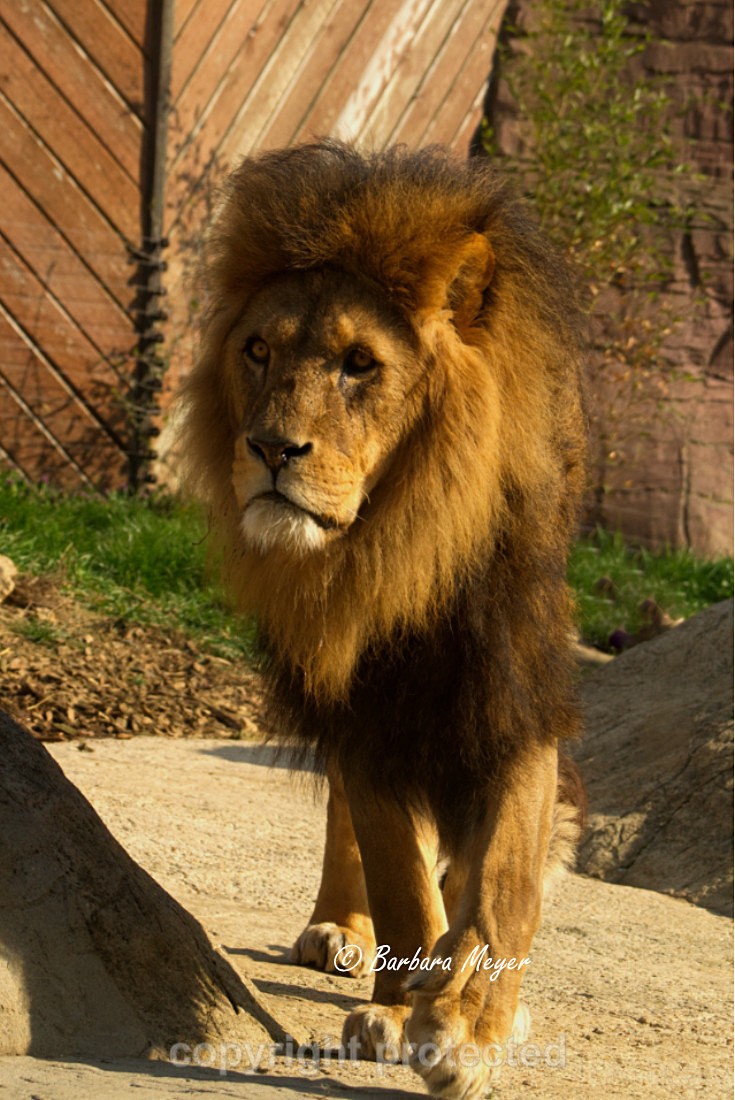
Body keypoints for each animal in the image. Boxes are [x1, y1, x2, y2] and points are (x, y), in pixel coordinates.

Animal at [177, 141, 587, 1098]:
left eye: (359, 364)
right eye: (257, 351)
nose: (270, 448)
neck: (399, 548)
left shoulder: (514, 699)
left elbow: (504, 880)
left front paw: (472, 1026)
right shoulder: (362, 713)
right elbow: (399, 871)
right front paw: (406, 1010)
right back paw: (343, 931)